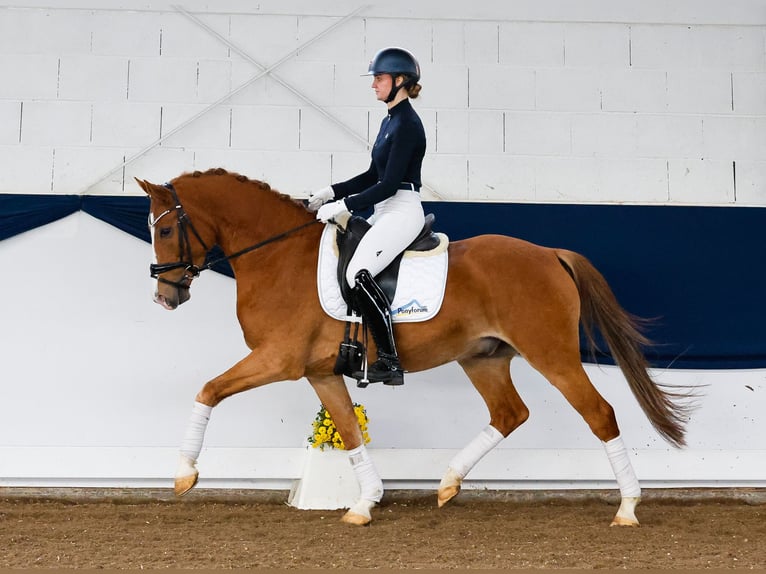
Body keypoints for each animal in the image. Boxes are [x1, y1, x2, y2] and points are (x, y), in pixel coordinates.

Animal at [135, 166, 692, 528]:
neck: (277, 255)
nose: (165, 296)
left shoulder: (278, 360)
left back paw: (627, 509)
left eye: (167, 228)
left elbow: (208, 390)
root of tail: (550, 254)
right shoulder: (319, 371)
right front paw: (364, 504)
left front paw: (184, 475)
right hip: (483, 357)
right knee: (510, 413)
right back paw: (447, 483)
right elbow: (347, 431)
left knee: (599, 413)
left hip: (551, 355)